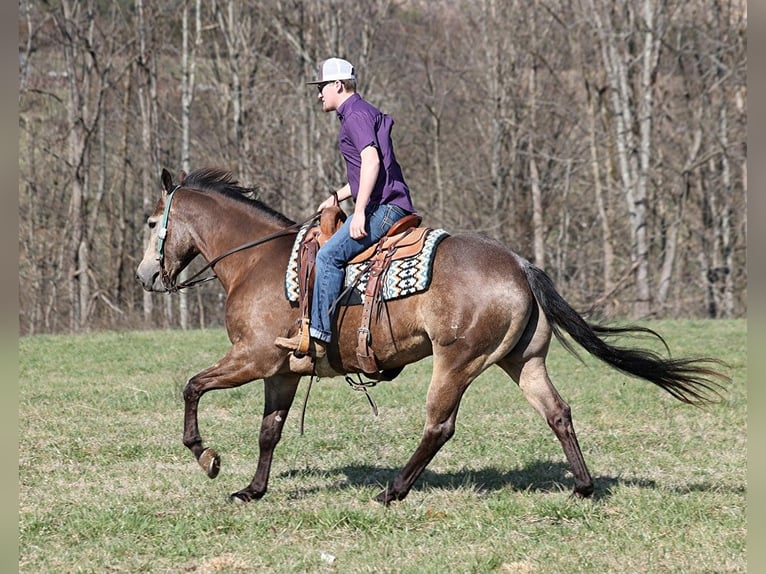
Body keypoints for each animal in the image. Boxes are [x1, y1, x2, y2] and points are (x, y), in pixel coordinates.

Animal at [135, 166, 728, 504]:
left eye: (150, 222)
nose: (144, 276)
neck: (256, 262)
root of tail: (520, 265)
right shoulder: (281, 370)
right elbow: (269, 432)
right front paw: (253, 490)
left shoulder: (252, 358)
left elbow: (192, 386)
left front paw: (206, 456)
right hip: (523, 361)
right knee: (557, 412)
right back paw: (583, 487)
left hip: (456, 362)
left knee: (439, 426)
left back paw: (392, 491)